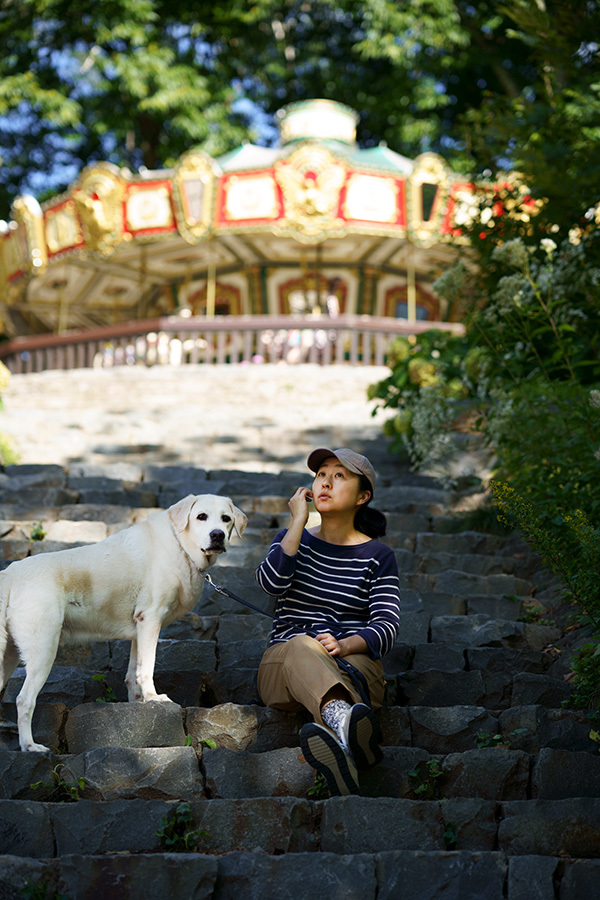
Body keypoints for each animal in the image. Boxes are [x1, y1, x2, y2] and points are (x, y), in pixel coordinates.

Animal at [0, 496, 246, 748]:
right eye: (201, 516)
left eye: (226, 518)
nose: (217, 535)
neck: (180, 545)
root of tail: (10, 574)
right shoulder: (151, 618)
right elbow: (147, 668)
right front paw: (154, 698)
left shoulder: (140, 628)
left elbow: (133, 673)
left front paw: (138, 705)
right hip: (43, 650)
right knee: (24, 700)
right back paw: (30, 746)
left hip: (8, 656)